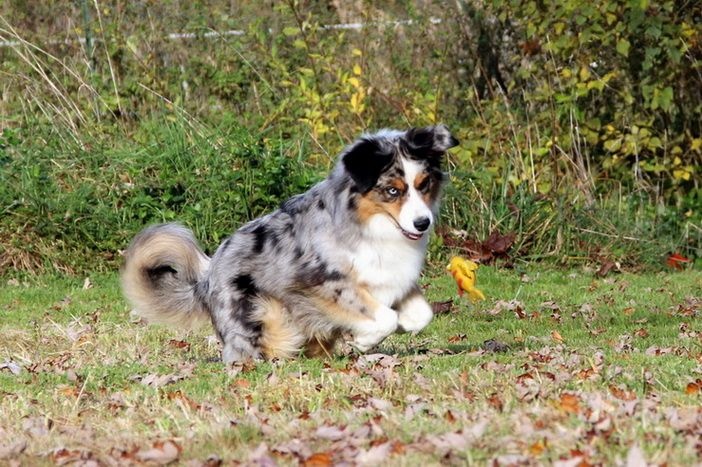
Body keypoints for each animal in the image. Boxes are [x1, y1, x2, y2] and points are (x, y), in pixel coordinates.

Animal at [123, 126, 460, 364]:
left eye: (424, 185)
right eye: (392, 191)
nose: (422, 223)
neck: (370, 226)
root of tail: (207, 277)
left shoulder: (394, 279)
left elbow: (420, 316)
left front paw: (398, 327)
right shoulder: (320, 282)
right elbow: (385, 318)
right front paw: (365, 340)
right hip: (264, 314)